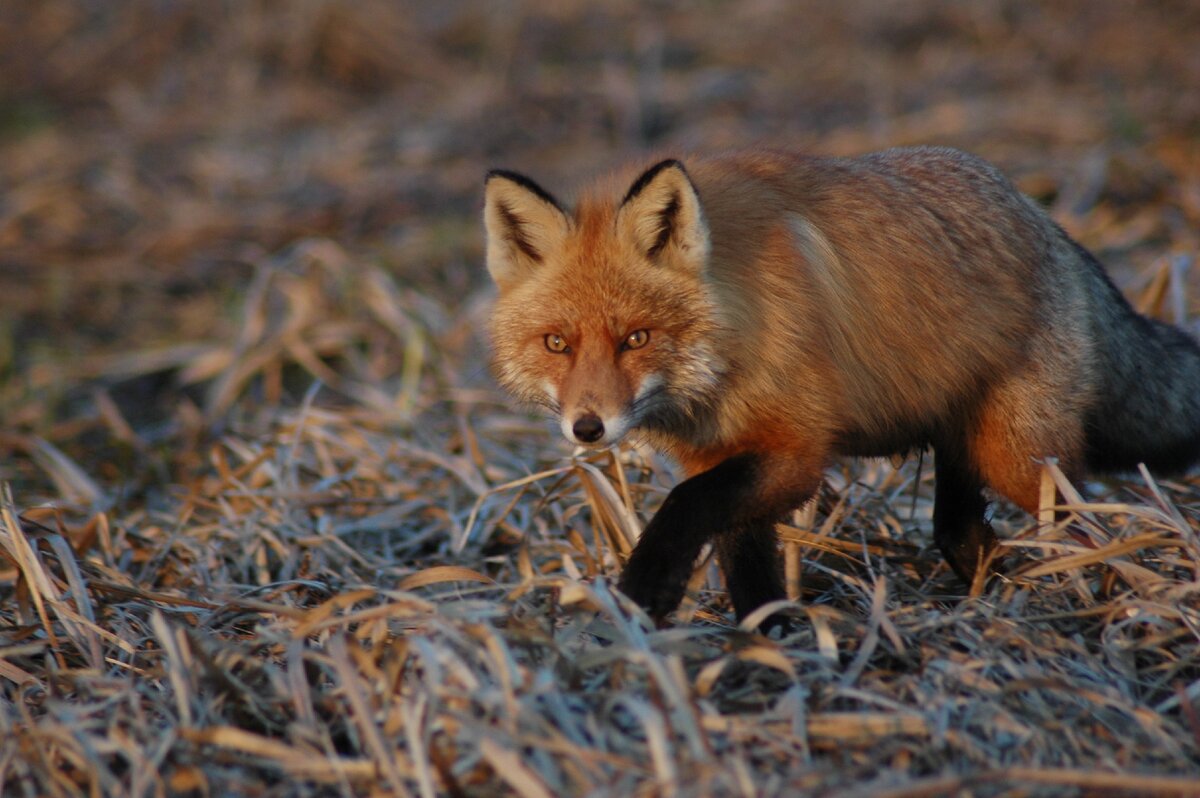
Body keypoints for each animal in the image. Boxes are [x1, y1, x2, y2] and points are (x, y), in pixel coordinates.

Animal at [480, 144, 1200, 628]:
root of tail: (1047, 222)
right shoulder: (724, 458)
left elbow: (683, 507)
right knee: (966, 538)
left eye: (636, 339)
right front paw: (767, 651)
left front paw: (647, 589)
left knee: (1091, 523)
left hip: (1019, 461)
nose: (588, 428)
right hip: (962, 450)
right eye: (556, 344)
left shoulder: (795, 451)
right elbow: (748, 572)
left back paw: (1111, 596)